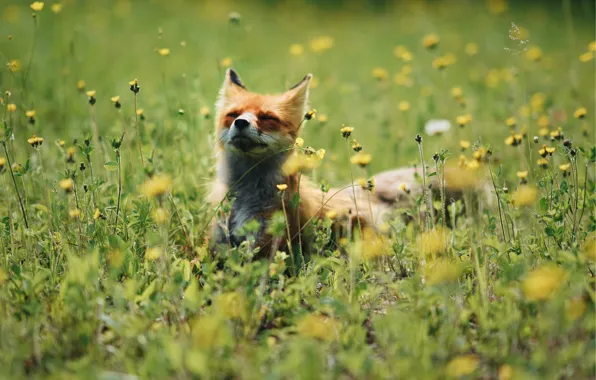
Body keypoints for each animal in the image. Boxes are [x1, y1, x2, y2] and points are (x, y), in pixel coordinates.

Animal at [210, 68, 488, 258]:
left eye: (267, 117)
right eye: (233, 115)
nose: (241, 123)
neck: (247, 197)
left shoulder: (267, 244)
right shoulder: (219, 242)